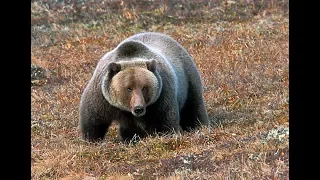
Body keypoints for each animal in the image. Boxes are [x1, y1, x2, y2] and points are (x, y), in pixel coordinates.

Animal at [79, 32, 209, 142]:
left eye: (144, 87)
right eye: (128, 88)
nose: (138, 108)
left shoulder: (161, 95)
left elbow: (165, 119)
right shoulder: (102, 96)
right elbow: (92, 118)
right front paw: (91, 140)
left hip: (188, 79)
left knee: (193, 107)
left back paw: (200, 127)